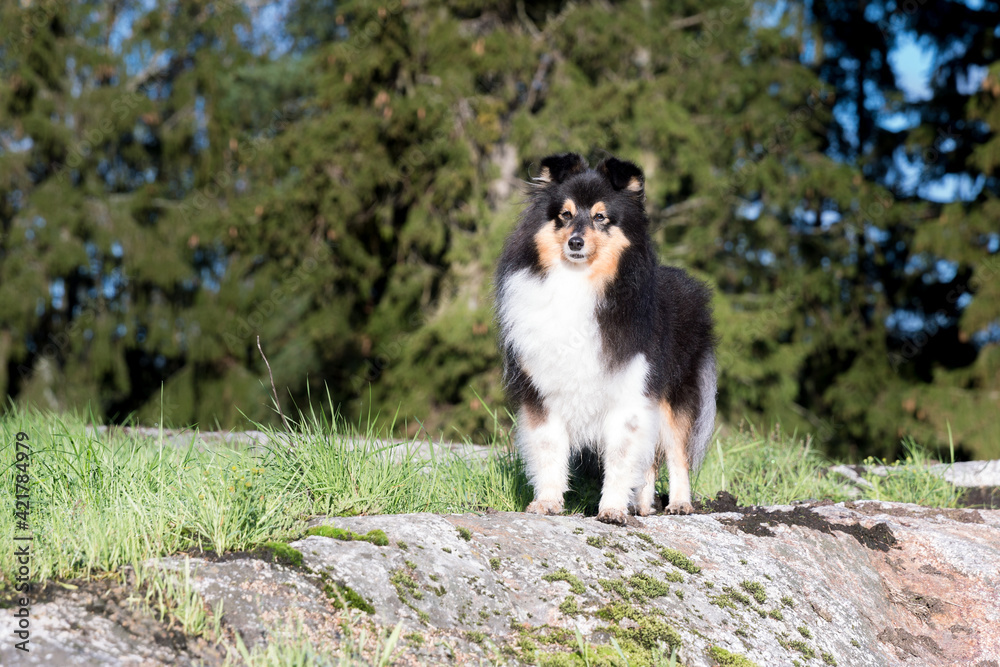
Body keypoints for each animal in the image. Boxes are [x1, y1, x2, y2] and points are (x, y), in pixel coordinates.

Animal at [494, 154, 716, 524]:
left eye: (600, 217)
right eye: (565, 214)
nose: (575, 243)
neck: (579, 282)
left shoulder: (630, 389)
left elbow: (621, 455)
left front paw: (611, 509)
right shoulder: (542, 390)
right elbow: (549, 447)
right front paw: (547, 503)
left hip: (675, 397)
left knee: (677, 454)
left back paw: (679, 505)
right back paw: (642, 505)